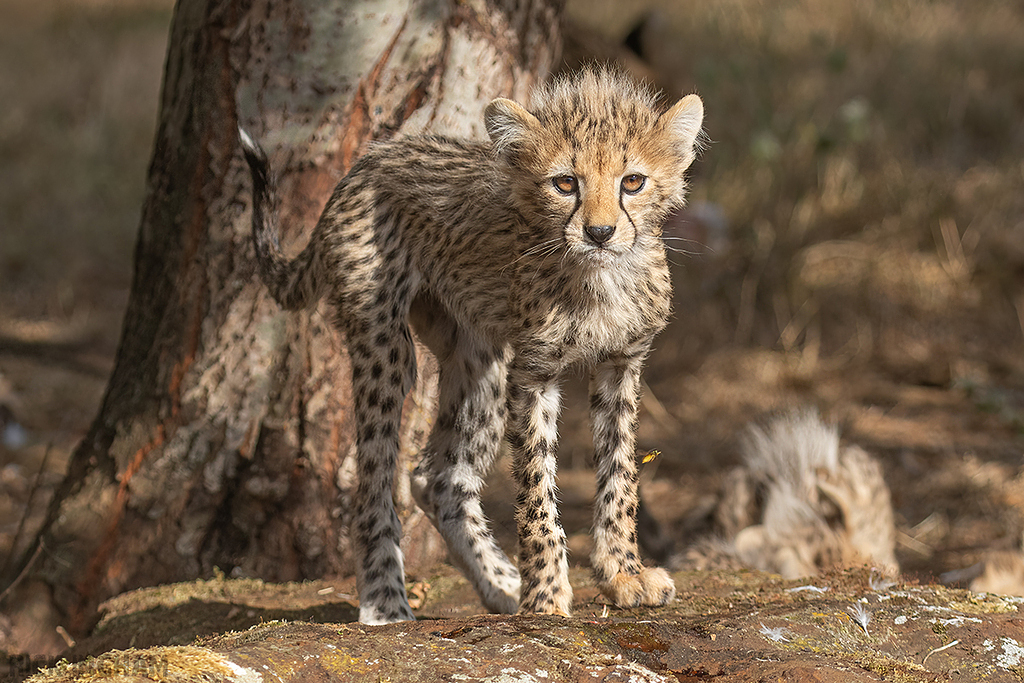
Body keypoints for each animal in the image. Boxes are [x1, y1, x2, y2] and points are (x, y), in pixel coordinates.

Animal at [239, 67, 704, 625]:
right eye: (565, 183)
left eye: (632, 181)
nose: (599, 232)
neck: (599, 277)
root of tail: (371, 158)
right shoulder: (534, 373)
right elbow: (536, 491)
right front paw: (546, 596)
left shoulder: (621, 365)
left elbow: (621, 475)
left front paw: (623, 576)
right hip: (386, 347)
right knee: (375, 480)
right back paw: (385, 599)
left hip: (480, 360)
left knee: (435, 476)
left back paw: (500, 582)